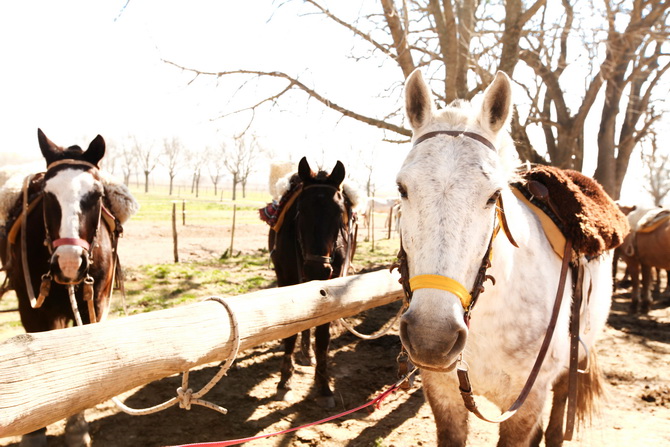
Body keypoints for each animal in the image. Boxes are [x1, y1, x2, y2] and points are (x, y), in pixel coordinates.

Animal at [0, 128, 124, 446]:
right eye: (47, 194)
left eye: (96, 195)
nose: (69, 262)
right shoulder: (30, 307)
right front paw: (34, 432)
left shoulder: (95, 304)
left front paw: (77, 427)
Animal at [270, 158, 360, 410]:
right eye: (300, 211)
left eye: (339, 213)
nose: (316, 270)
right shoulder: (286, 280)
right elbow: (290, 332)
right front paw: (284, 381)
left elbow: (323, 336)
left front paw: (324, 386)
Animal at [400, 68, 616, 446]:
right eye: (402, 189)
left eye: (493, 196)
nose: (432, 336)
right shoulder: (443, 394)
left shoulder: (527, 401)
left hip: (569, 368)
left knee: (556, 425)